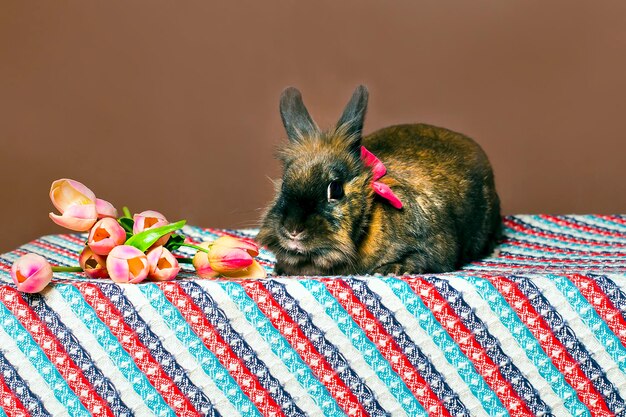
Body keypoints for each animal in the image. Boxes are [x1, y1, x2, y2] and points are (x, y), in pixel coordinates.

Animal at [256, 85, 500, 274]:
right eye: (284, 184)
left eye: (335, 189)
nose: (293, 229)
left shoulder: (435, 247)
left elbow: (421, 258)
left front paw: (391, 269)